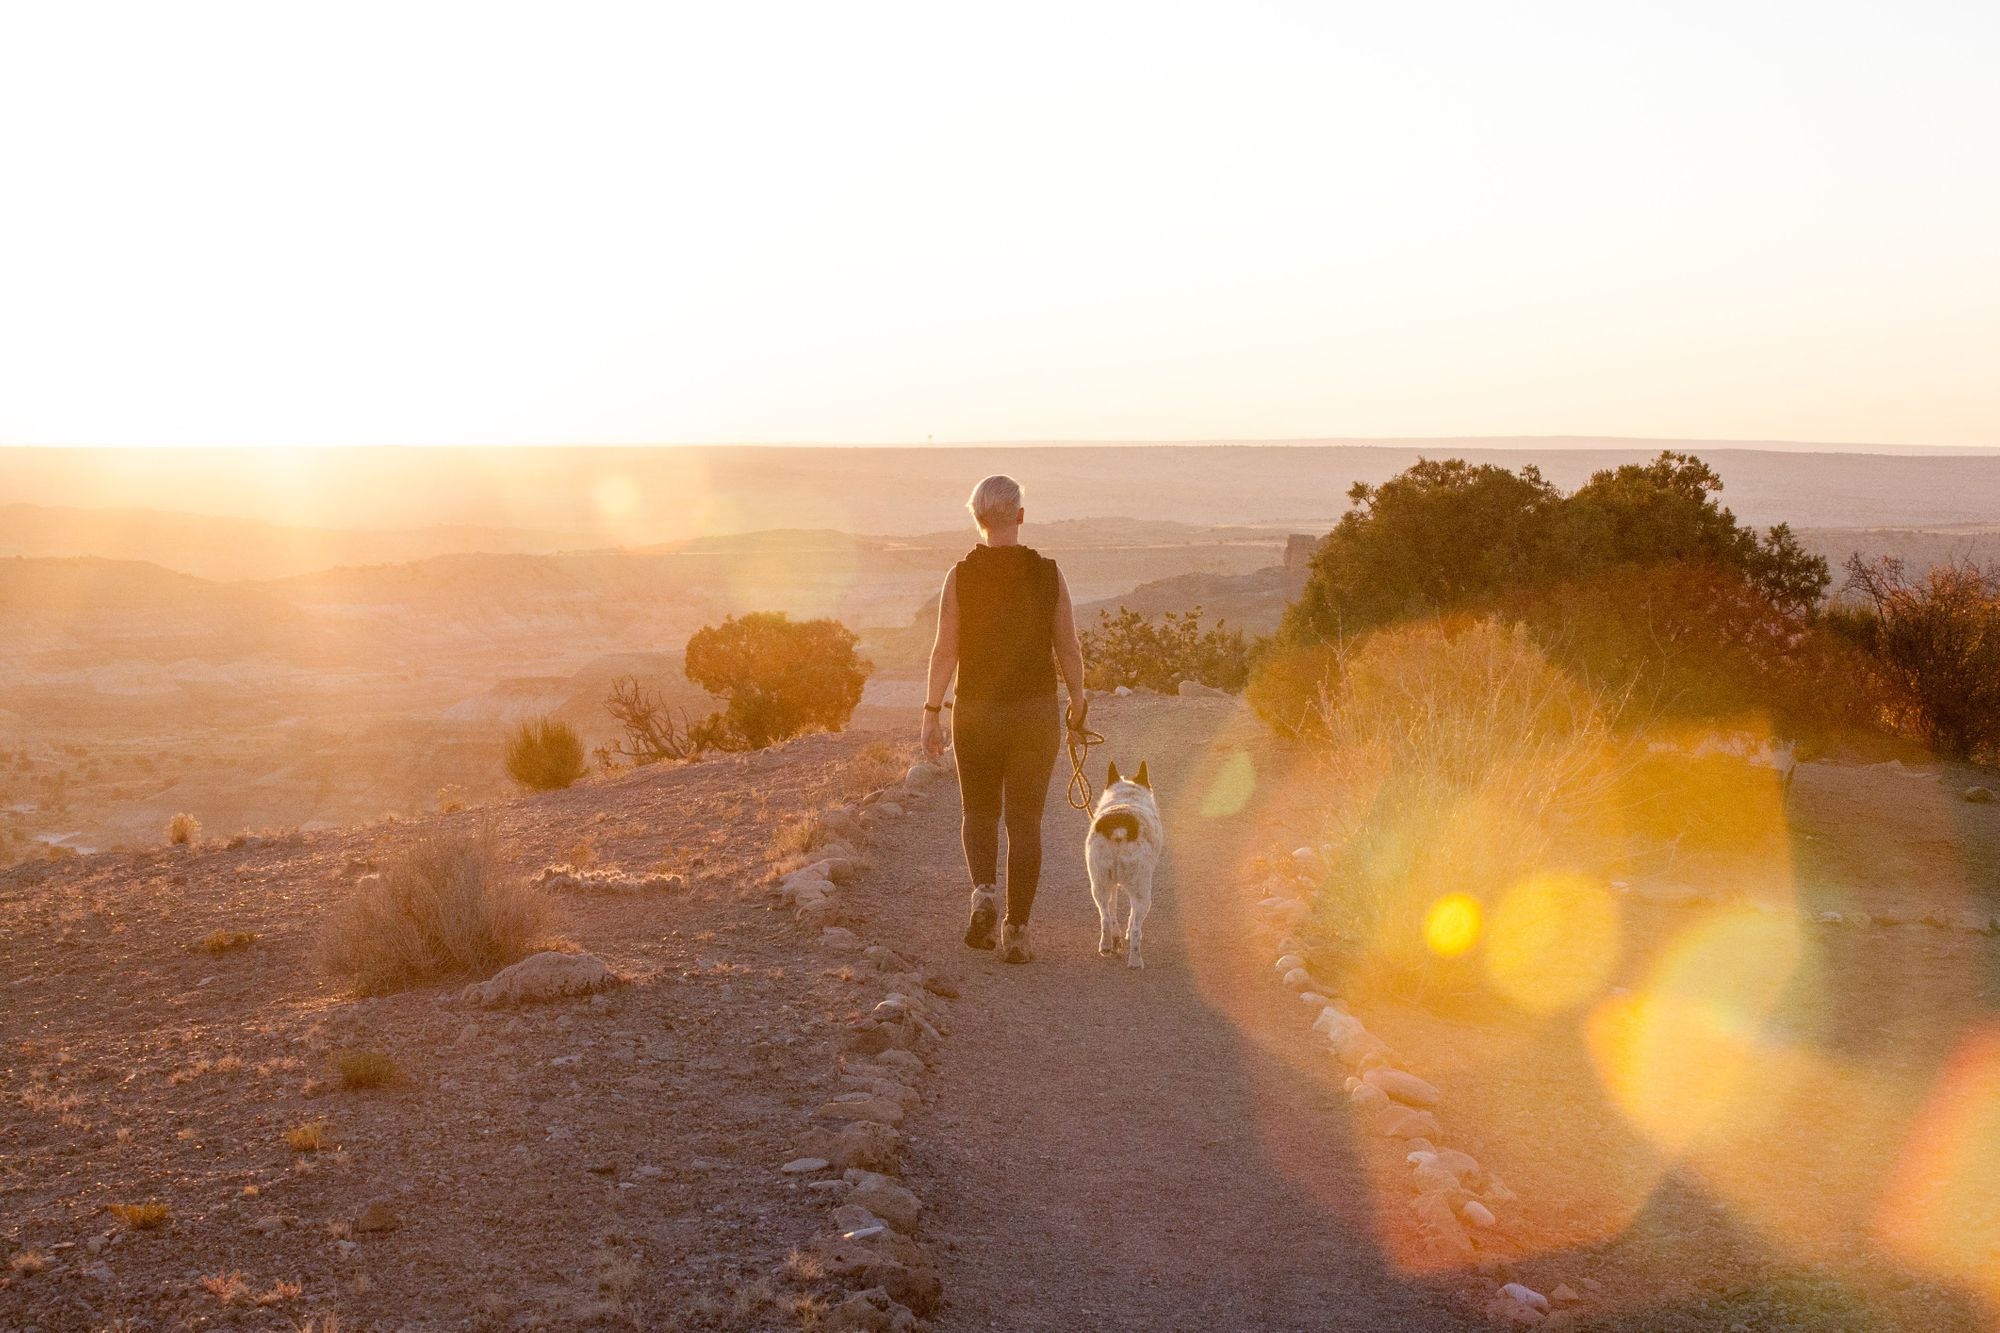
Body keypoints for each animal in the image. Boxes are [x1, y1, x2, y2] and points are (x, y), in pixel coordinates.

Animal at [1088, 756, 1168, 964]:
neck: (1127, 796)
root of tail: (1119, 830)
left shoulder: (1111, 884)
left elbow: (1113, 911)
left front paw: (1116, 939)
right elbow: (1132, 919)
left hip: (1099, 883)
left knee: (1105, 917)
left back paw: (1106, 946)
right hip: (1142, 891)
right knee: (1136, 928)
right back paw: (1135, 961)